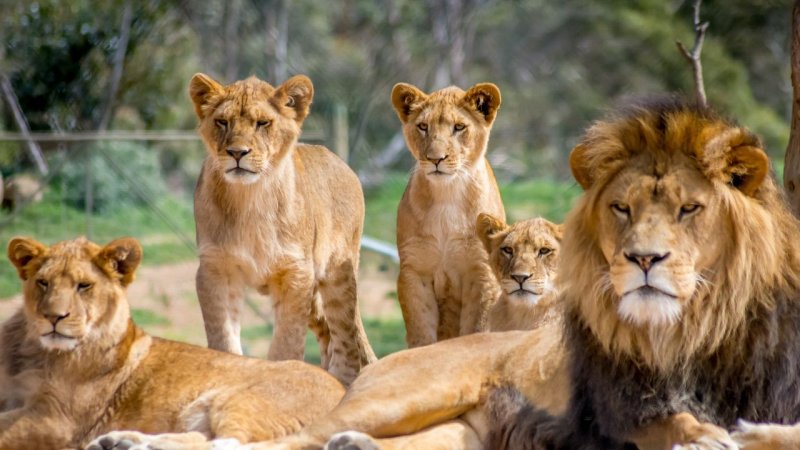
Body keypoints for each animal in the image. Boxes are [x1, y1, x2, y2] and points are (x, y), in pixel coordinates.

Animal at [0, 236, 345, 450]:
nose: (53, 317)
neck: (36, 351)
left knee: (233, 444)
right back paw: (124, 441)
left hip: (244, 401)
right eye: (43, 283)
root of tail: (343, 390)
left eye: (83, 286)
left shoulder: (56, 418)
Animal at [190, 73, 375, 385]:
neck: (249, 199)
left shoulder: (296, 273)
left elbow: (286, 343)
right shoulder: (215, 270)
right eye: (222, 122)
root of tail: (342, 163)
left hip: (338, 274)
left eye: (262, 123)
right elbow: (223, 339)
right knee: (328, 335)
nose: (237, 153)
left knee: (346, 338)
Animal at [392, 82, 505, 347]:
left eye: (459, 127)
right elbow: (421, 331)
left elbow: (476, 329)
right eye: (423, 126)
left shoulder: (481, 272)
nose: (436, 159)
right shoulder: (415, 271)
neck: (447, 194)